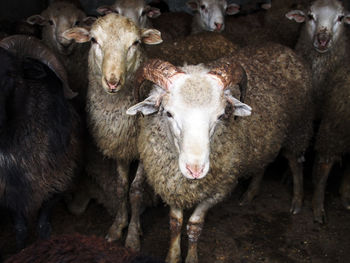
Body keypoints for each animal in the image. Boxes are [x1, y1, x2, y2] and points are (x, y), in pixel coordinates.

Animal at [61, 12, 163, 252]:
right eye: (93, 40)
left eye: (135, 43)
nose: (113, 81)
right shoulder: (119, 146)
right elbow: (120, 188)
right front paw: (118, 226)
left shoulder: (143, 150)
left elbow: (135, 191)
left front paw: (133, 236)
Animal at [126, 42, 314, 262]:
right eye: (168, 113)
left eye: (220, 115)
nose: (195, 170)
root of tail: (285, 49)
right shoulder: (172, 184)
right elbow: (175, 223)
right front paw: (172, 256)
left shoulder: (218, 190)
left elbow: (194, 226)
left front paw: (191, 257)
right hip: (266, 139)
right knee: (263, 162)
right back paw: (250, 193)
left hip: (298, 128)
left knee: (295, 162)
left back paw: (297, 201)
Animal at [286, 0, 350, 224]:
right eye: (310, 16)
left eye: (341, 18)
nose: (322, 40)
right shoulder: (303, 116)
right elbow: (296, 160)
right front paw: (298, 199)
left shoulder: (334, 119)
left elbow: (324, 165)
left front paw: (318, 205)